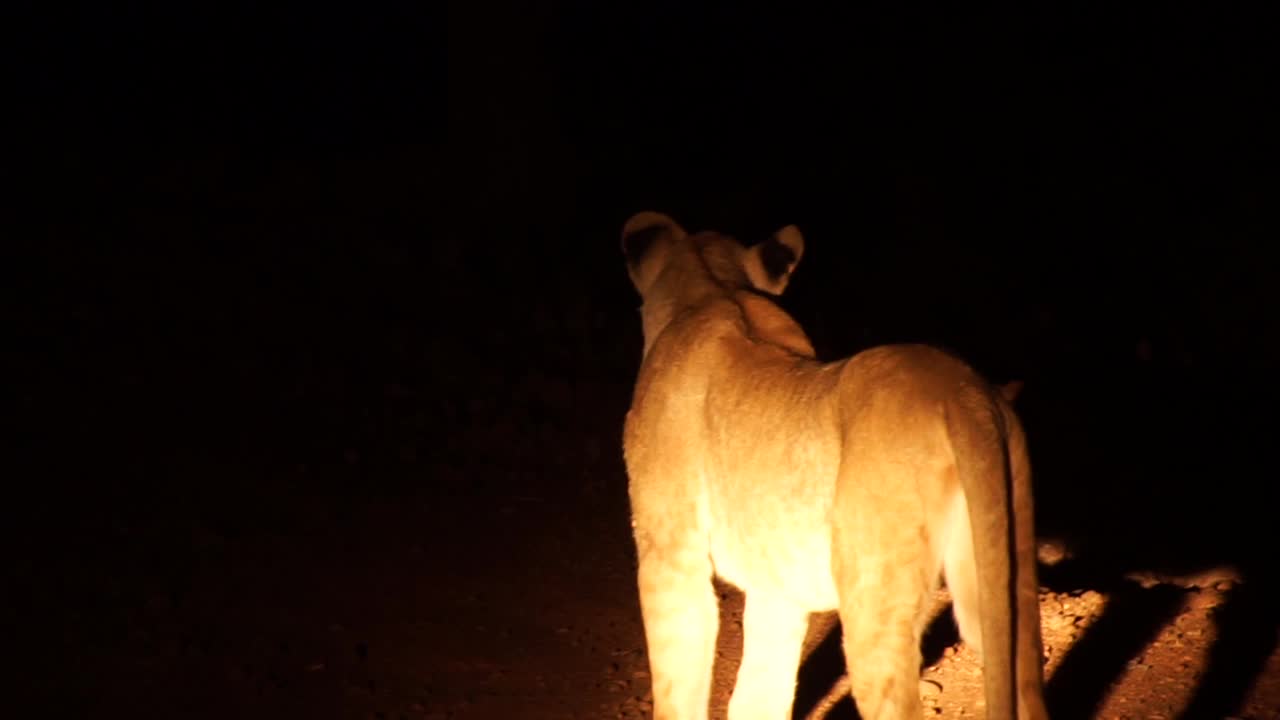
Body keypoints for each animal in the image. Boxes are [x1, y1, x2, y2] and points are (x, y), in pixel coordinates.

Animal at [619, 208, 1049, 717]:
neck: (712, 287)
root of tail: (963, 395)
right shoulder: (776, 588)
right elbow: (759, 691)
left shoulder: (669, 558)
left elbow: (677, 682)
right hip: (999, 568)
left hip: (873, 597)